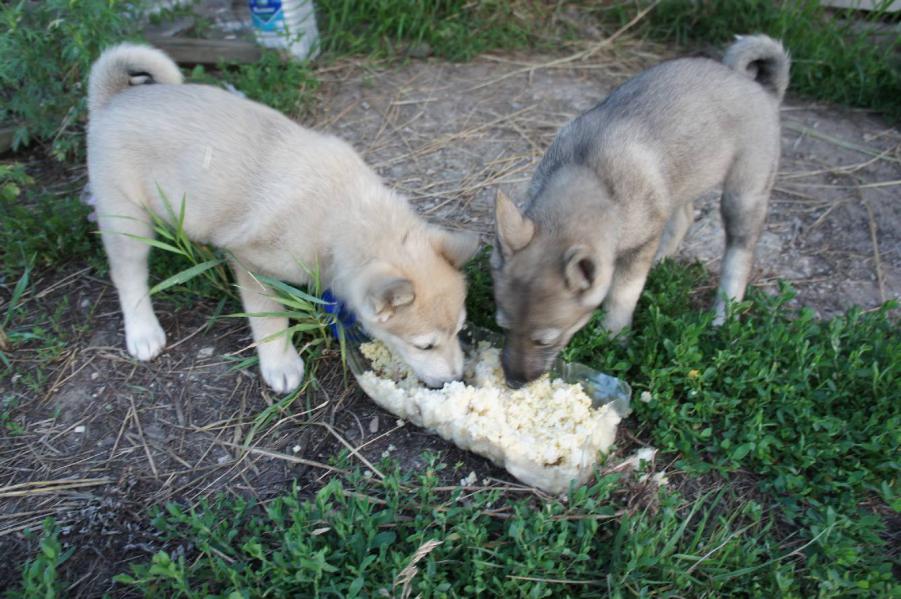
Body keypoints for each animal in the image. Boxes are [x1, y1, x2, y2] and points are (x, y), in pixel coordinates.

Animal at [87, 44, 479, 393]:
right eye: (424, 345)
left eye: (460, 330)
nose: (456, 379)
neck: (343, 212)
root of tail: (114, 98)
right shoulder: (253, 265)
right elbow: (271, 317)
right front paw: (280, 364)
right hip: (127, 220)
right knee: (128, 275)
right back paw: (143, 331)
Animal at [491, 35, 790, 387]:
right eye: (503, 327)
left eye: (545, 340)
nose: (513, 382)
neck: (588, 174)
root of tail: (760, 88)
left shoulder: (637, 249)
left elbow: (621, 296)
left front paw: (613, 338)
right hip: (682, 180)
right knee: (684, 216)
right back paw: (661, 262)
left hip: (743, 196)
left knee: (738, 258)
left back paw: (722, 318)